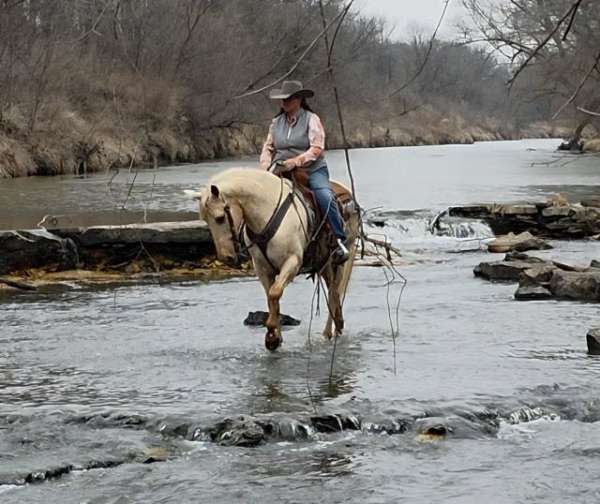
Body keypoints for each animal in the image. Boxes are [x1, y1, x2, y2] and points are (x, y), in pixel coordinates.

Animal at [186, 169, 356, 350]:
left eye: (220, 218)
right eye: (205, 220)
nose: (226, 257)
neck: (266, 214)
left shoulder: (292, 262)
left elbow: (275, 294)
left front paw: (272, 334)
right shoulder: (262, 269)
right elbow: (271, 298)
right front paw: (275, 337)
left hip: (338, 260)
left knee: (334, 292)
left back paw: (329, 332)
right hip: (323, 264)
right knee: (334, 292)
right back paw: (338, 324)